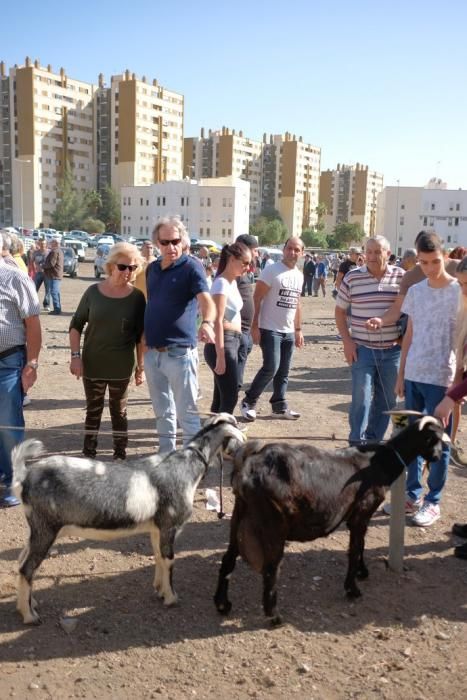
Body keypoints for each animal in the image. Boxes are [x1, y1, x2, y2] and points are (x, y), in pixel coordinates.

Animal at [215, 416, 446, 624]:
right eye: (434, 439)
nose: (436, 457)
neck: (379, 462)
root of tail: (249, 469)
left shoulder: (358, 516)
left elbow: (361, 544)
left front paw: (362, 572)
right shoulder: (362, 512)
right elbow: (355, 549)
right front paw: (352, 589)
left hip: (239, 515)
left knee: (228, 560)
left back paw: (222, 604)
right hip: (273, 524)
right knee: (271, 570)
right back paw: (274, 617)